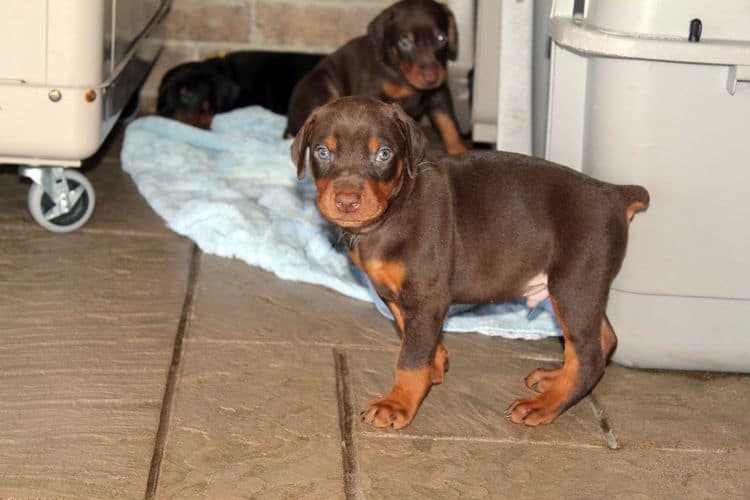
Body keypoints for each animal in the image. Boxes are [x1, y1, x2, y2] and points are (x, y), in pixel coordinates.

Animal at [286, 0, 468, 154]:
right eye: (404, 43)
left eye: (442, 38)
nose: (431, 77)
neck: (401, 73)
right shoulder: (372, 92)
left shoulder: (439, 94)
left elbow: (449, 123)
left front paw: (459, 151)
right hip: (322, 83)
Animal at [294, 95, 652, 428]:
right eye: (322, 152)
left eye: (383, 154)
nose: (347, 201)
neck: (394, 209)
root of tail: (613, 194)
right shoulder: (398, 294)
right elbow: (411, 333)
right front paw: (436, 362)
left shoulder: (427, 294)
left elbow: (410, 359)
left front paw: (398, 403)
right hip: (579, 287)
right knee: (602, 339)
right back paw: (554, 380)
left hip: (574, 282)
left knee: (588, 356)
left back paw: (544, 405)